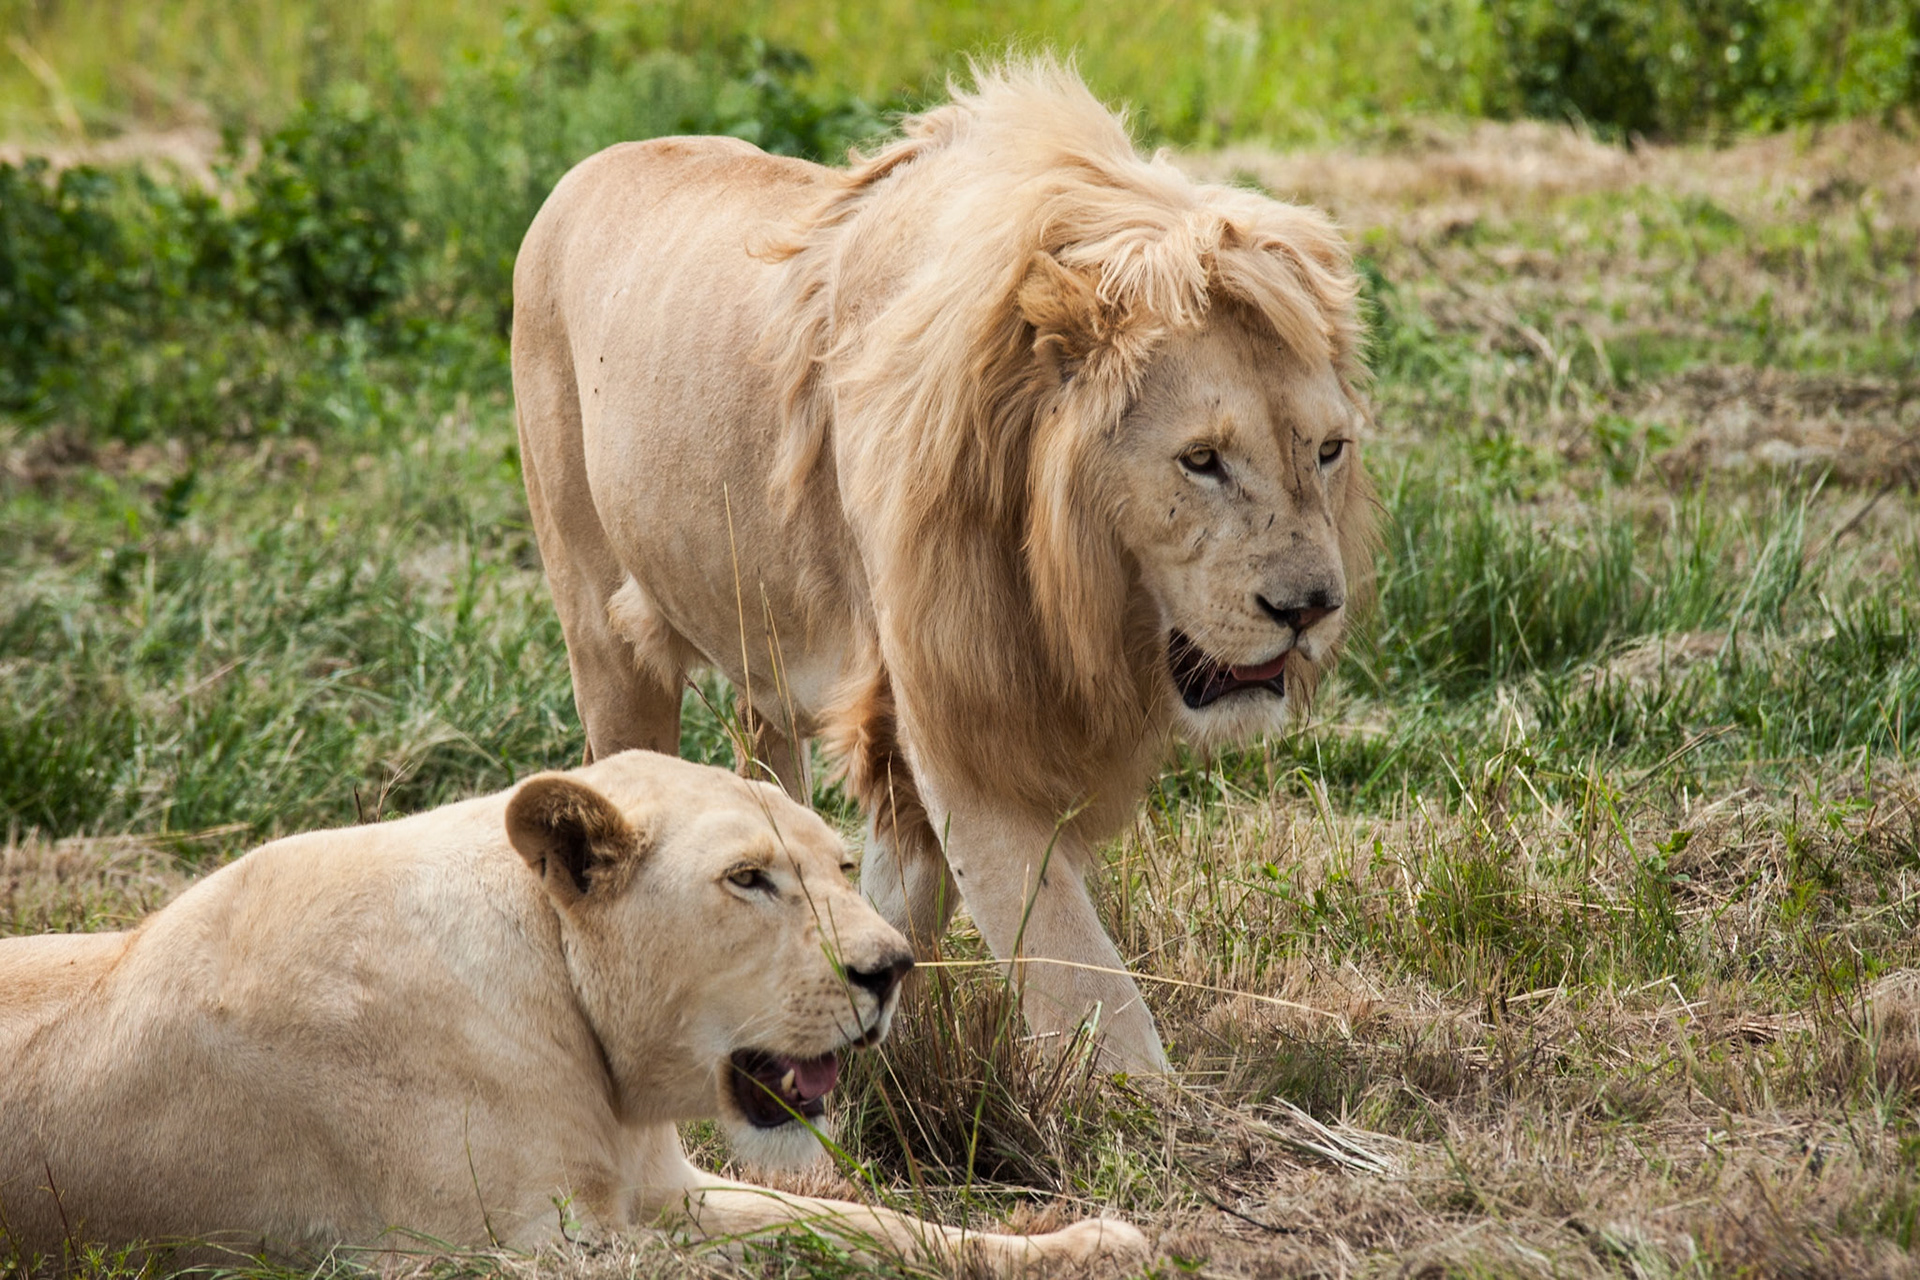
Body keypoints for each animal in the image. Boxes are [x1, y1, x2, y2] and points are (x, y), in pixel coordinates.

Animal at [0, 751, 1146, 1269]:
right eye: (748, 879)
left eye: (839, 864)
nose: (893, 967)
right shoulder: (491, 1251)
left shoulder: (665, 1188)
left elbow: (865, 1220)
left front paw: (1082, 1240)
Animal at [511, 61, 1376, 1074]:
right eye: (1201, 460)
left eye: (1327, 451)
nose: (1310, 610)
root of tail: (590, 166)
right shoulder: (960, 713)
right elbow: (1077, 969)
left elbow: (906, 901)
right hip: (601, 631)